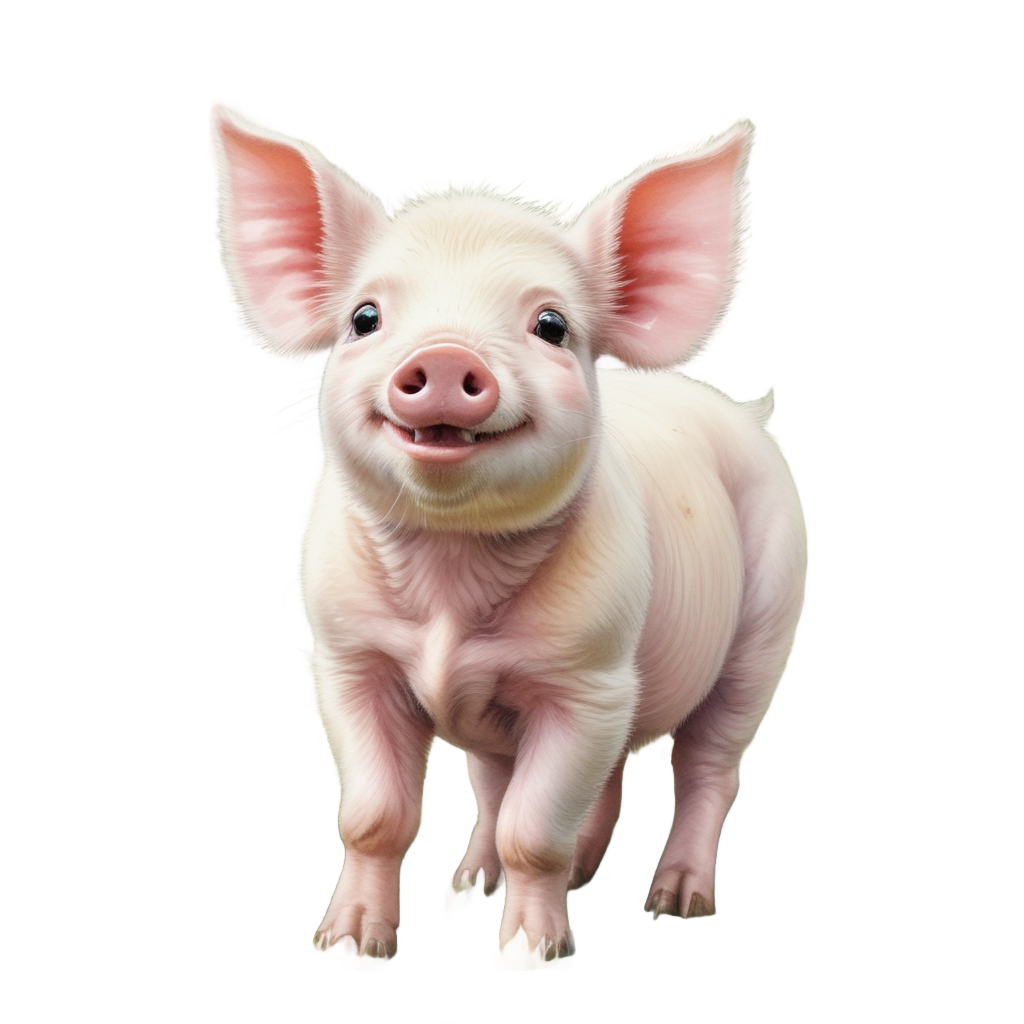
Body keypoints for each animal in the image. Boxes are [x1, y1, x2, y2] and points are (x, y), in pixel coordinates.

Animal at [214, 110, 803, 966]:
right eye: (365, 318)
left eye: (550, 325)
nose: (443, 354)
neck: (449, 584)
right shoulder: (348, 659)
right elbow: (374, 816)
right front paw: (348, 945)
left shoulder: (591, 681)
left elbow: (536, 830)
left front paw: (530, 957)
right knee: (547, 780)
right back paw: (480, 879)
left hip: (763, 622)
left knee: (705, 769)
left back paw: (676, 905)